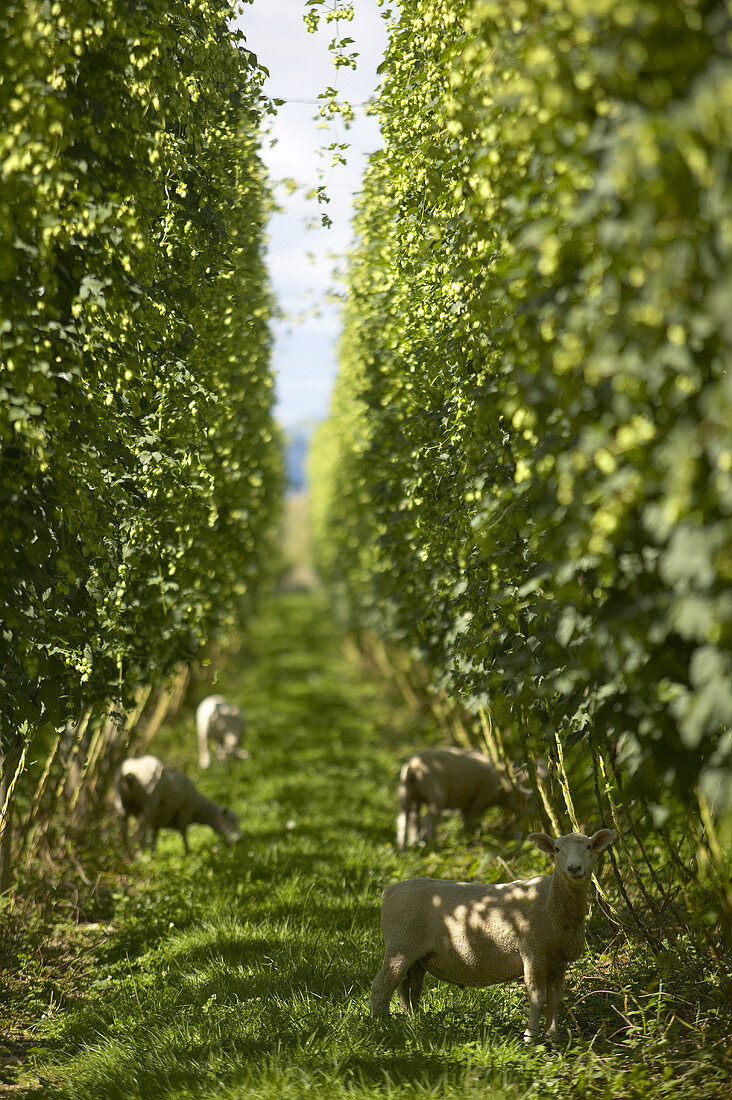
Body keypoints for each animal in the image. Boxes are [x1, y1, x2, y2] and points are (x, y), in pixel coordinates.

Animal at [372, 827, 616, 1042]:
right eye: (556, 849)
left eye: (588, 846)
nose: (574, 868)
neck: (551, 897)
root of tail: (390, 890)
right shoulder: (533, 953)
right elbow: (537, 998)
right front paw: (530, 1037)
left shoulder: (558, 960)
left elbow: (555, 1000)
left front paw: (552, 1038)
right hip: (400, 944)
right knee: (382, 985)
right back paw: (379, 1025)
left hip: (416, 955)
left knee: (408, 989)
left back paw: (414, 1022)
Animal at [396, 748, 539, 849]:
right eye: (519, 797)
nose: (524, 814)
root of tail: (412, 766)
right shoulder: (479, 799)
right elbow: (473, 822)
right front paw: (475, 841)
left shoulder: (466, 802)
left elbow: (465, 822)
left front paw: (466, 840)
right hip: (436, 796)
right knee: (428, 821)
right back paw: (432, 845)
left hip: (407, 795)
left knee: (406, 820)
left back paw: (406, 848)